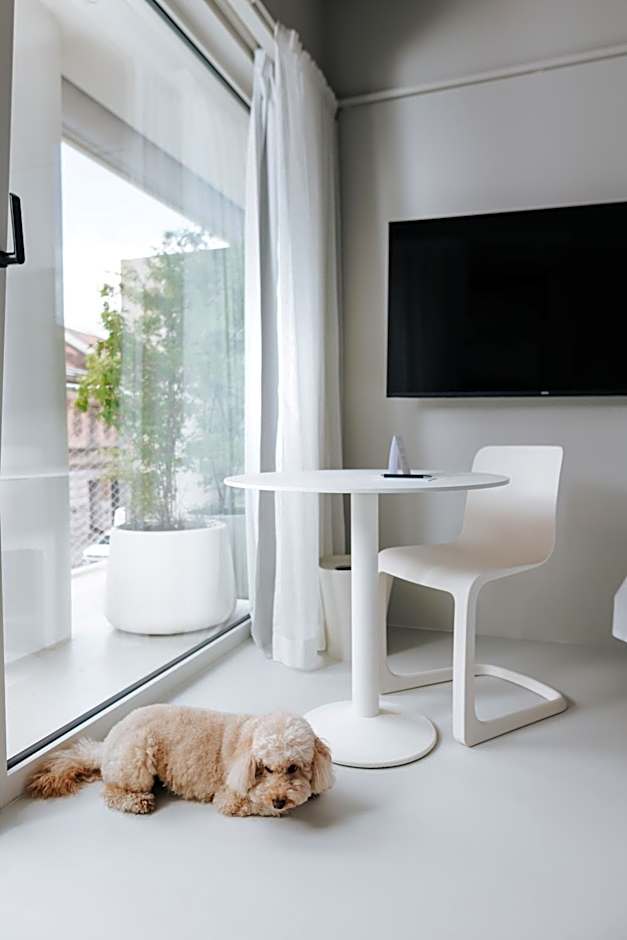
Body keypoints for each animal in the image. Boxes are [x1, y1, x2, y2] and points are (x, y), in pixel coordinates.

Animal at [28, 705, 334, 817]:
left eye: (293, 767)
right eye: (266, 769)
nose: (279, 800)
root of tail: (105, 746)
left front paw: (312, 791)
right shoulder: (230, 798)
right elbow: (255, 804)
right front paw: (283, 807)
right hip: (138, 757)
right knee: (111, 792)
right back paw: (138, 801)